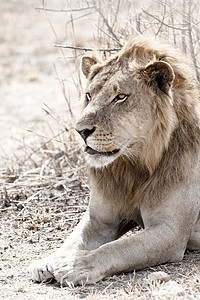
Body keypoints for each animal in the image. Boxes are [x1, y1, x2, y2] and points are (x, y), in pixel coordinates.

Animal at [28, 35, 200, 286]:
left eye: (120, 97)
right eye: (89, 95)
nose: (81, 130)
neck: (132, 167)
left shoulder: (170, 232)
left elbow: (117, 249)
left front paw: (76, 265)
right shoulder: (99, 221)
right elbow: (73, 240)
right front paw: (48, 261)